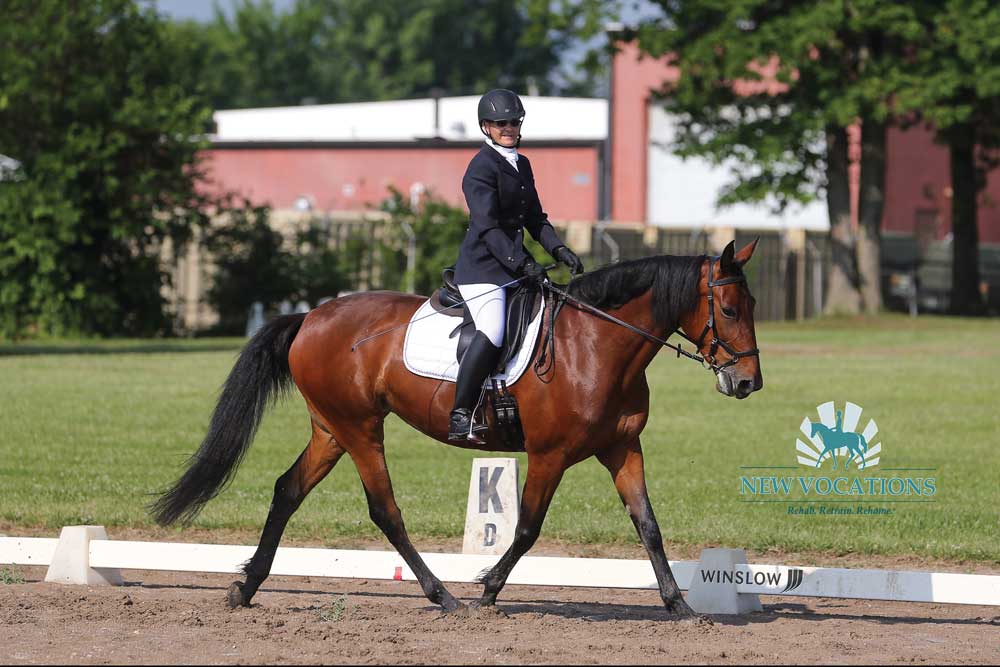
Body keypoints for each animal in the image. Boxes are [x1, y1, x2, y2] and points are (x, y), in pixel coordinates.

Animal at [148, 239, 760, 616]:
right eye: (729, 310)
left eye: (751, 305)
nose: (747, 383)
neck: (597, 345)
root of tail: (311, 317)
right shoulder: (550, 454)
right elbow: (526, 529)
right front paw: (487, 589)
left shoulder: (622, 448)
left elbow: (648, 526)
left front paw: (680, 605)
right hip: (360, 428)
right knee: (385, 510)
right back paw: (443, 596)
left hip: (331, 429)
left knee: (288, 490)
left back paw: (246, 587)